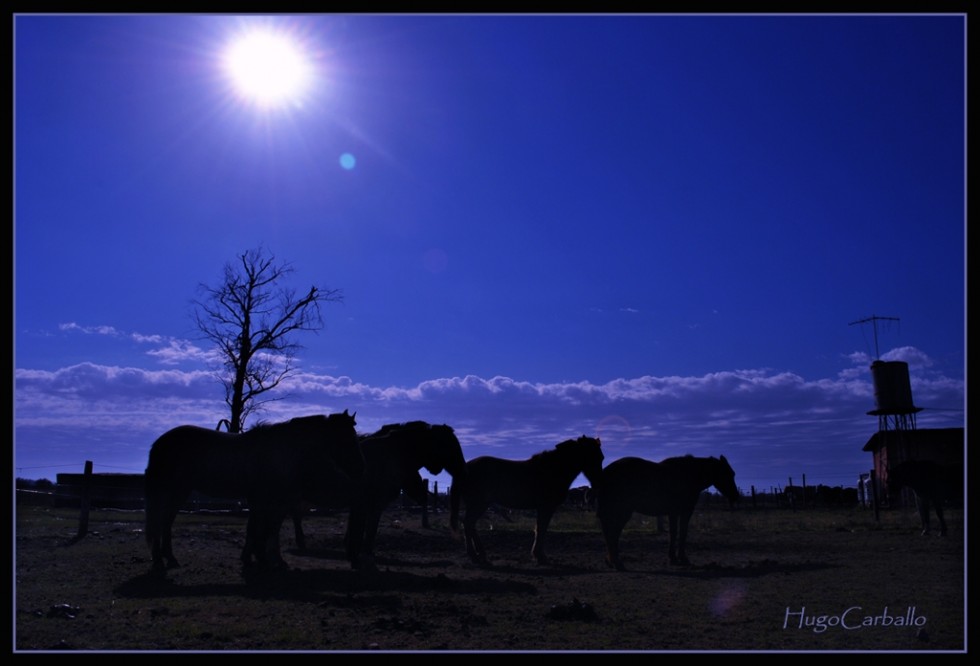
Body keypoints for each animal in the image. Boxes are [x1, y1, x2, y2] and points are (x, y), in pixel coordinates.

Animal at [144, 410, 362, 572]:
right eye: (347, 437)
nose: (359, 466)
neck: (283, 451)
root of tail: (160, 442)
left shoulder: (264, 501)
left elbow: (261, 528)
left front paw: (257, 559)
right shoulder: (268, 501)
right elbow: (265, 529)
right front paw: (266, 560)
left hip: (180, 490)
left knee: (165, 521)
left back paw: (170, 559)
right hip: (169, 490)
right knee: (159, 520)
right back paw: (159, 561)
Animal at [284, 420, 468, 564]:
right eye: (448, 444)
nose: (461, 467)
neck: (394, 454)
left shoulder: (371, 504)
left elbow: (367, 528)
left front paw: (362, 550)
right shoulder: (370, 502)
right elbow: (366, 529)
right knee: (295, 515)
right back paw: (300, 543)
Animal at [452, 436, 604, 564]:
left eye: (601, 457)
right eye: (592, 456)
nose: (598, 482)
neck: (554, 470)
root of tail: (466, 467)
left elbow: (540, 529)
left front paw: (538, 555)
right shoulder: (546, 507)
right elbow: (541, 529)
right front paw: (540, 556)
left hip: (479, 504)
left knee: (470, 525)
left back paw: (481, 553)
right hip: (479, 503)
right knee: (468, 524)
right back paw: (474, 555)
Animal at [592, 454, 740, 568]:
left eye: (732, 474)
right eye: (727, 474)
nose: (735, 496)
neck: (689, 475)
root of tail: (605, 473)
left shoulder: (674, 513)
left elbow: (674, 533)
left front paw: (673, 558)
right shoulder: (684, 512)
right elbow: (681, 533)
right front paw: (681, 559)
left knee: (611, 532)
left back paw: (611, 561)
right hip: (622, 510)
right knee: (612, 532)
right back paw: (616, 562)